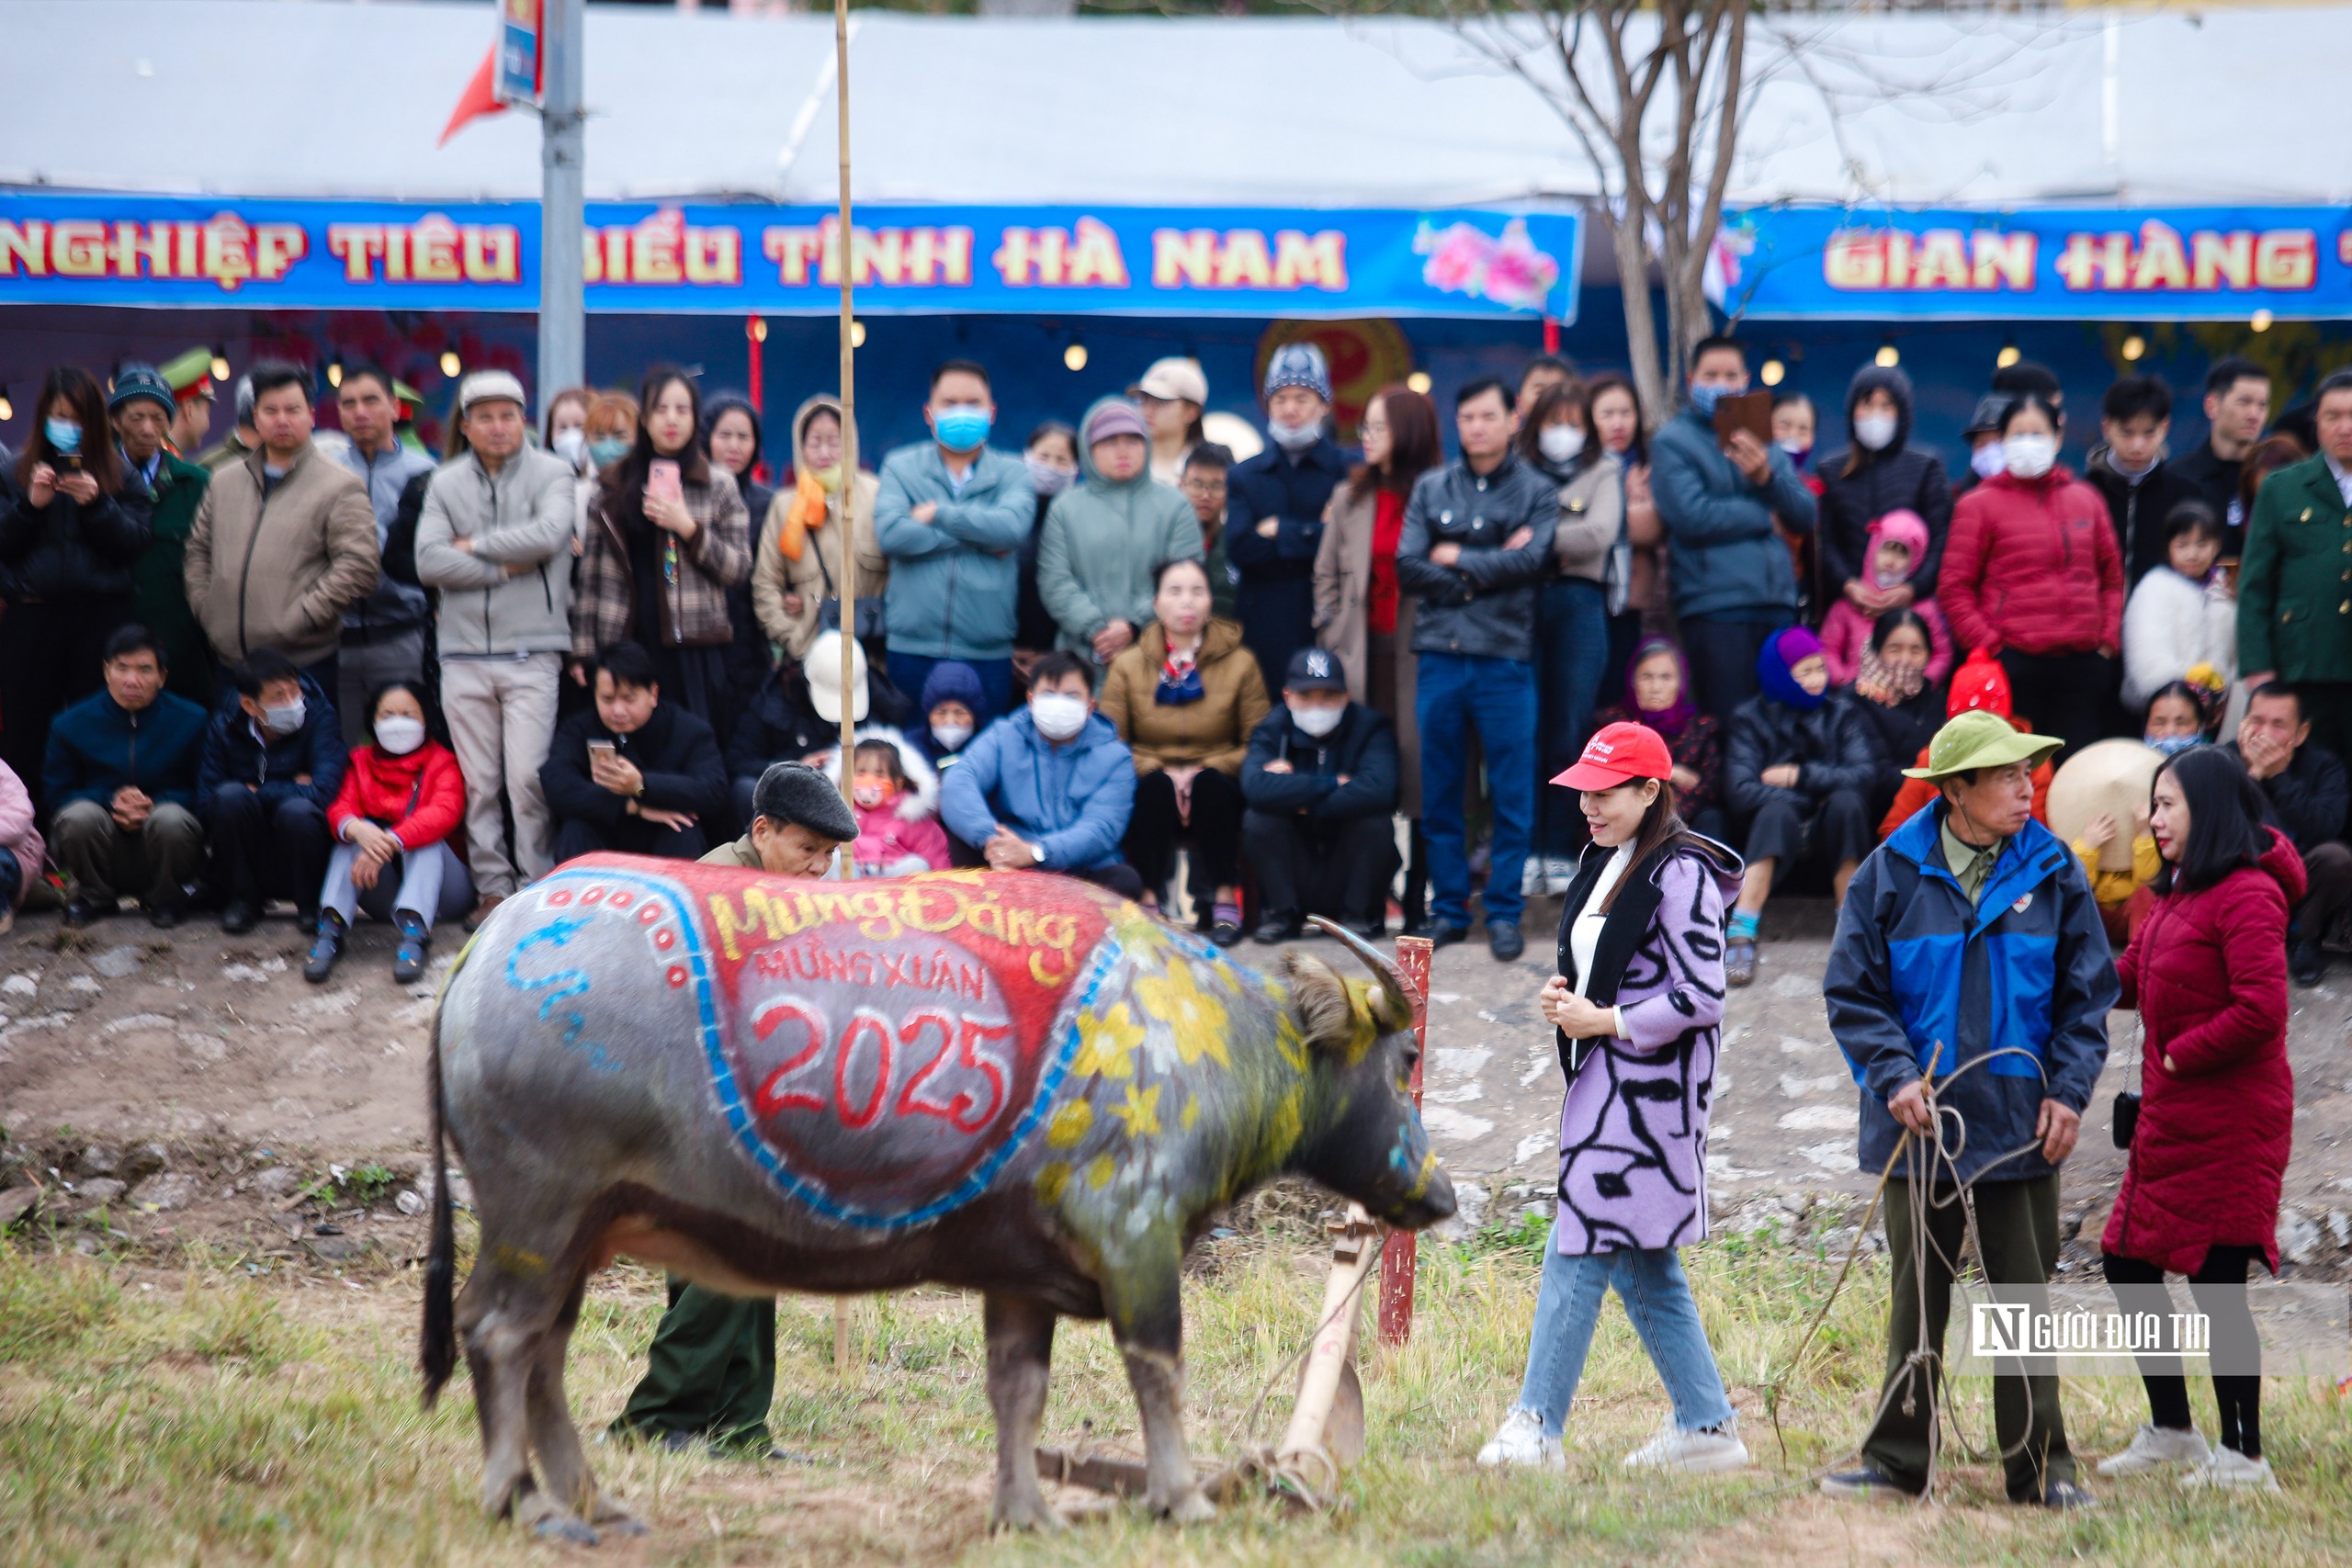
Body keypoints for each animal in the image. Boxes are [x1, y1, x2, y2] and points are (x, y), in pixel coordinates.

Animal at [423, 851, 1448, 1541]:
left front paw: (1026, 1511)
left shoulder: (1021, 1277)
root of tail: (490, 946)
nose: (1437, 1193)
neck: (1202, 1039)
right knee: (501, 1335)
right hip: (537, 1209)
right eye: (1404, 1056)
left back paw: (592, 1500)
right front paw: (1184, 1498)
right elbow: (1157, 1368)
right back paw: (522, 1502)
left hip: (580, 1230)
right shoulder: (1135, 1237)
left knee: (544, 1349)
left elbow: (1018, 1390)